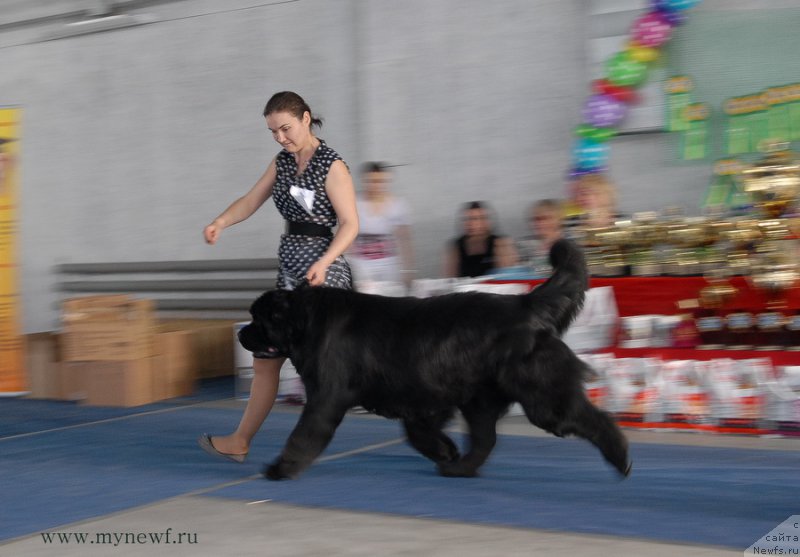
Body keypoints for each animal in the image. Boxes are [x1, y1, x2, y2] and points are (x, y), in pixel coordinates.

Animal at [238, 238, 632, 478]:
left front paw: (280, 468)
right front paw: (446, 452)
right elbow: (419, 433)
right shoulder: (423, 397)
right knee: (485, 439)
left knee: (587, 418)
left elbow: (304, 434)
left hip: (539, 395)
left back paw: (621, 457)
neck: (306, 321)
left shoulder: (326, 396)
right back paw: (461, 468)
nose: (241, 333)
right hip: (480, 398)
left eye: (259, 319)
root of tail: (523, 303)